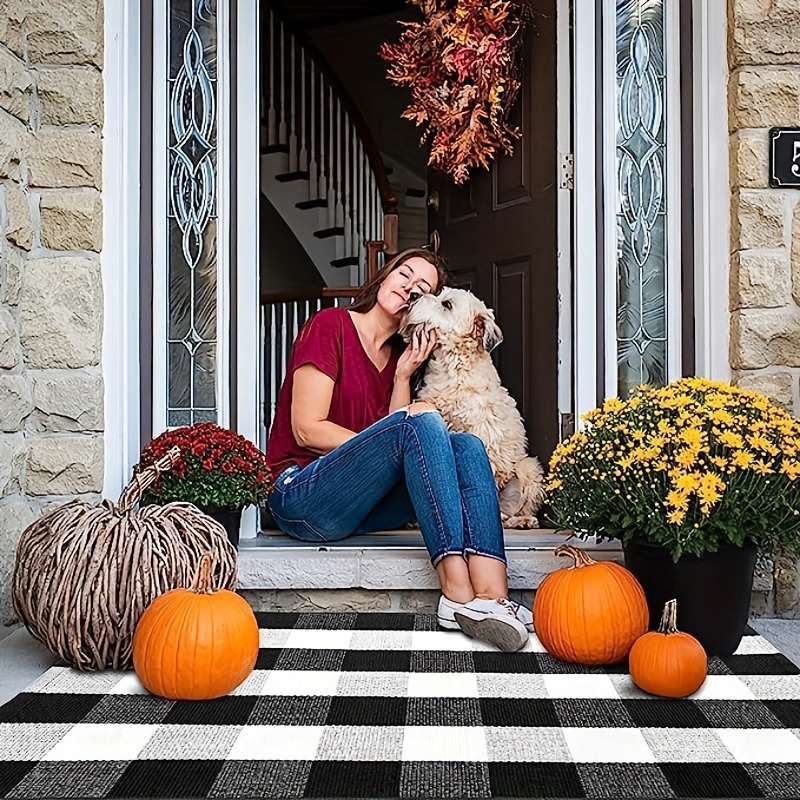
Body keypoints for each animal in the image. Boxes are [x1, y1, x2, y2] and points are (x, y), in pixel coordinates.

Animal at [404, 284, 548, 528]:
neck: (451, 369)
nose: (413, 295)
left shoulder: (483, 438)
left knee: (511, 512)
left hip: (527, 468)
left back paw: (523, 520)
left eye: (447, 304)